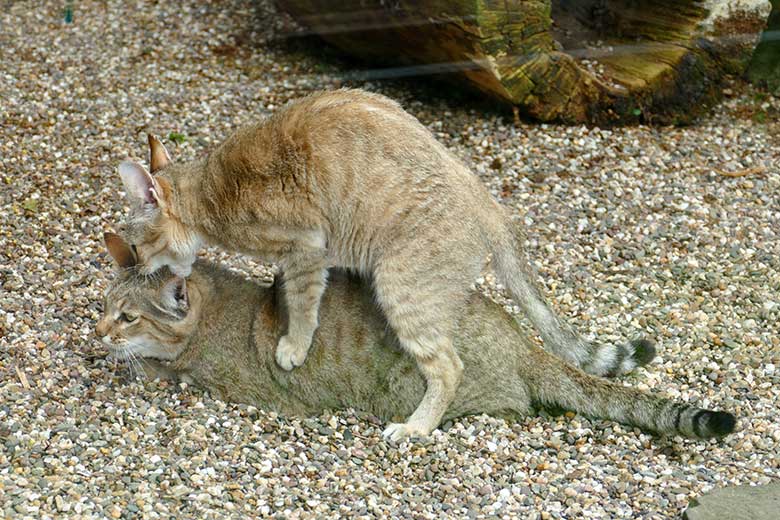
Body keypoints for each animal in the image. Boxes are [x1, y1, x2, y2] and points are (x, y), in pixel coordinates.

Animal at [94, 234, 736, 440]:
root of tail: (519, 338)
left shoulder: (240, 388)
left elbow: (171, 370)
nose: (99, 331)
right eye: (104, 308)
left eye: (127, 317)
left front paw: (145, 363)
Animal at [116, 88, 652, 438]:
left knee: (449, 367)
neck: (213, 193)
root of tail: (490, 205)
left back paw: (416, 428)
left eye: (136, 248)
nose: (137, 269)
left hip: (401, 287)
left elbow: (302, 303)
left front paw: (292, 344)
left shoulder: (306, 246)